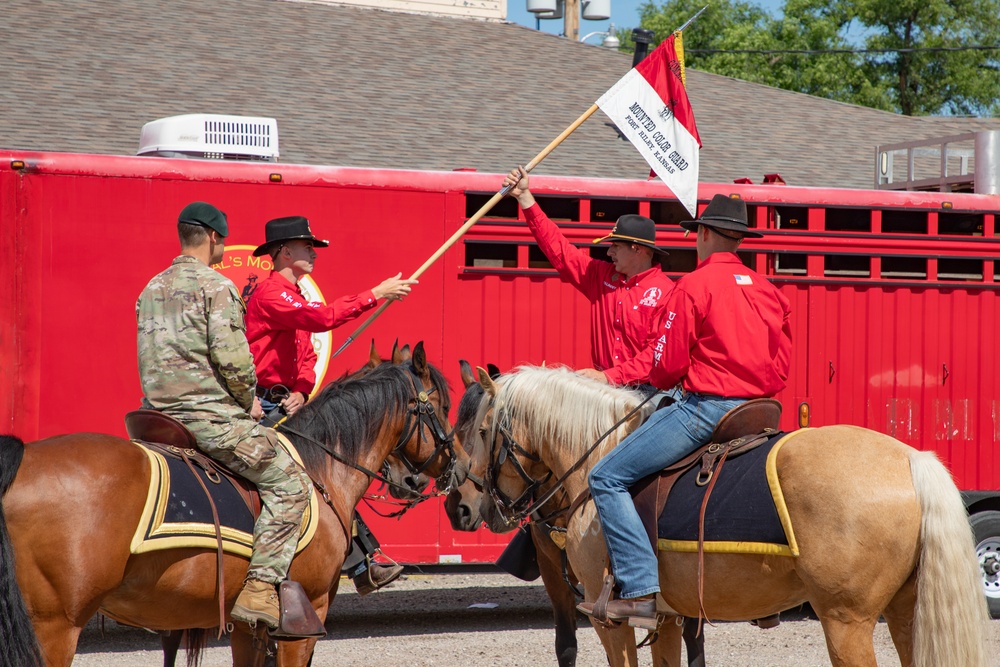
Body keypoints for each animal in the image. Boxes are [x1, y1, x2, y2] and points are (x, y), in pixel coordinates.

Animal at [0, 352, 458, 664]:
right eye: (441, 406)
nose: (452, 467)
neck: (318, 467)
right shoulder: (304, 621)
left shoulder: (248, 625)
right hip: (53, 627)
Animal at [466, 366, 984, 667]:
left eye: (484, 431)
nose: (470, 506)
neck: (598, 456)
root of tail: (911, 459)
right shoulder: (668, 619)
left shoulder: (607, 618)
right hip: (904, 613)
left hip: (846, 621)